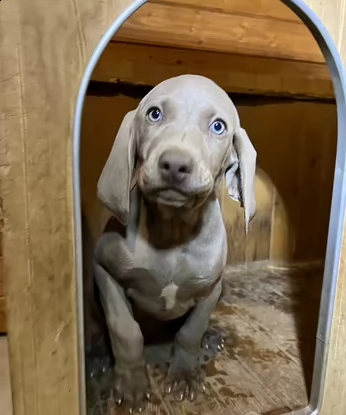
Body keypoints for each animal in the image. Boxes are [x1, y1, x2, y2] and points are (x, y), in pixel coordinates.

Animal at [93, 75, 255, 412]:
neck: (173, 229)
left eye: (218, 126)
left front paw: (184, 374)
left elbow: (190, 331)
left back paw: (211, 338)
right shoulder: (103, 268)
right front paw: (131, 384)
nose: (174, 165)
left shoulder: (212, 286)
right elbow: (125, 329)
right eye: (154, 114)